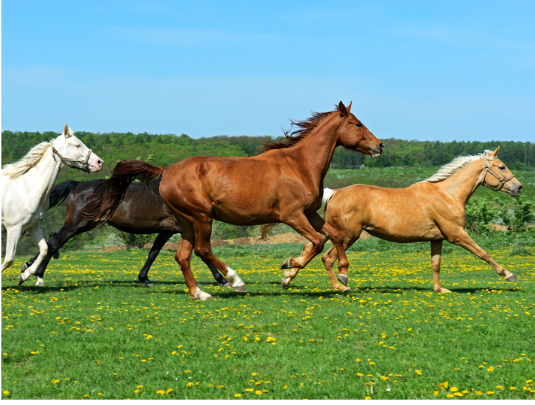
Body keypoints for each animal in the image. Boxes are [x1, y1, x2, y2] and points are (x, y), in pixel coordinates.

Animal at [0, 124, 103, 284]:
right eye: (77, 145)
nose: (99, 162)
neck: (27, 188)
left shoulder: (32, 226)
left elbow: (44, 249)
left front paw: (24, 275)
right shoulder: (13, 228)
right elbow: (9, 259)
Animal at [21, 178, 228, 286]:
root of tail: (78, 184)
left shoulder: (166, 230)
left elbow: (153, 253)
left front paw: (144, 278)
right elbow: (201, 253)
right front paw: (222, 279)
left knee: (51, 240)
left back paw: (29, 267)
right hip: (77, 225)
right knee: (54, 242)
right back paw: (38, 274)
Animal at [87, 101, 386, 298]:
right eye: (357, 124)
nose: (380, 145)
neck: (299, 165)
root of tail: (166, 170)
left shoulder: (310, 214)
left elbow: (334, 236)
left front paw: (342, 278)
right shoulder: (292, 215)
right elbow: (316, 242)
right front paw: (288, 268)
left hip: (185, 222)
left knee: (182, 256)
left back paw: (200, 294)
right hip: (201, 217)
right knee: (202, 250)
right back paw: (235, 281)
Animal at [268, 147, 524, 292]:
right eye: (502, 166)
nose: (519, 187)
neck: (448, 195)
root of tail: (335, 193)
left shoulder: (437, 238)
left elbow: (436, 263)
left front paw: (440, 289)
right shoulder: (456, 234)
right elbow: (483, 253)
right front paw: (509, 275)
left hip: (333, 232)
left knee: (310, 247)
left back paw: (287, 276)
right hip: (348, 236)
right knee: (327, 258)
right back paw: (340, 285)